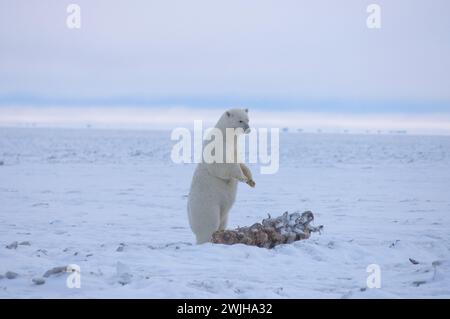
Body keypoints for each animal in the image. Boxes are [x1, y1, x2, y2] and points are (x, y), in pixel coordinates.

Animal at [187, 109, 256, 244]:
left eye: (248, 119)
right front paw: (242, 178)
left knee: (223, 221)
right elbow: (224, 165)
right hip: (206, 205)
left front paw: (251, 181)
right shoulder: (216, 146)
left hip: (223, 214)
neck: (225, 136)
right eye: (240, 120)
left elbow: (240, 163)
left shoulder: (234, 148)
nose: (248, 128)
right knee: (209, 224)